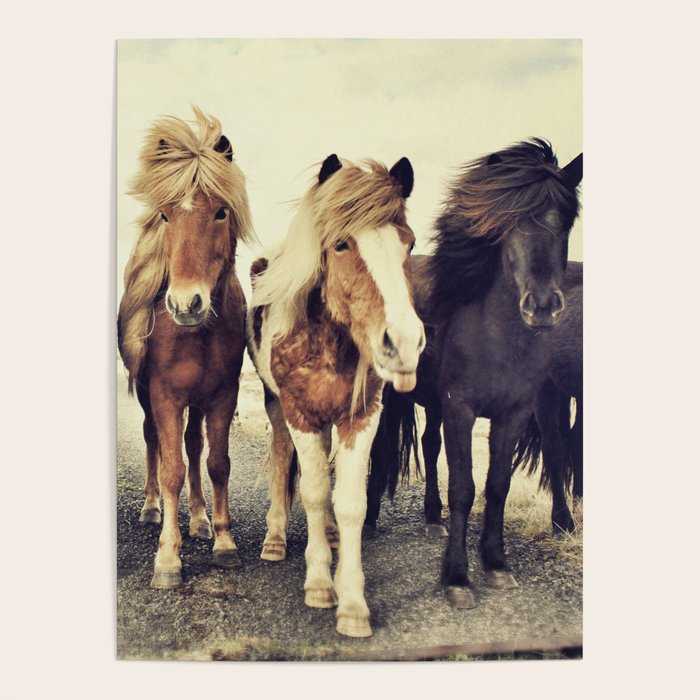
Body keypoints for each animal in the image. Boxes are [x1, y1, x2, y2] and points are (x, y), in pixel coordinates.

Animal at [117, 107, 255, 588]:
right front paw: (167, 558)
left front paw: (224, 541)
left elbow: (216, 463)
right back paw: (151, 507)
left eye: (220, 212)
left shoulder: (223, 395)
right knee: (155, 441)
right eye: (165, 214)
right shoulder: (163, 395)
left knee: (194, 446)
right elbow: (172, 468)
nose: (185, 304)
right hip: (149, 397)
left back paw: (198, 519)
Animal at [246, 154, 424, 637]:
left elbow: (348, 504)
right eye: (342, 244)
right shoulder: (299, 413)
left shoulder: (360, 416)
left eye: (409, 243)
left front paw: (353, 602)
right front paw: (320, 584)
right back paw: (275, 539)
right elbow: (311, 492)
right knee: (282, 461)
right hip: (276, 408)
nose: (403, 342)